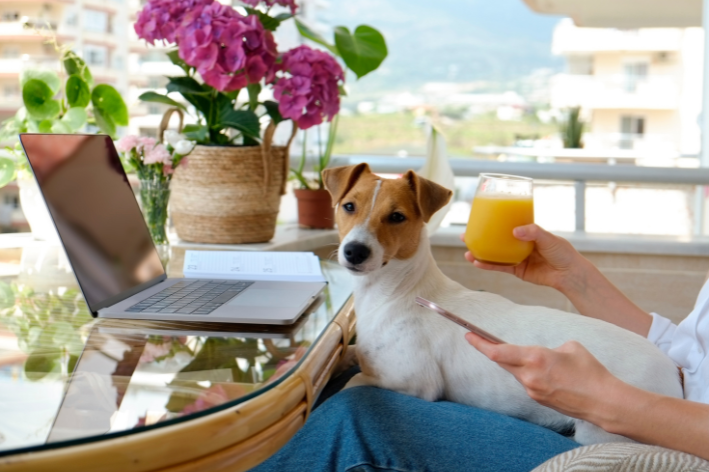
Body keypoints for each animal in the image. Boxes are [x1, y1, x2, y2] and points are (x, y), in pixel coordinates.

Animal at [324, 165, 684, 446]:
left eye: (397, 216)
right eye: (349, 206)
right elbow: (352, 355)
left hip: (602, 430)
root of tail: (674, 373)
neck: (397, 292)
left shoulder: (413, 382)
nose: (355, 251)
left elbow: (351, 385)